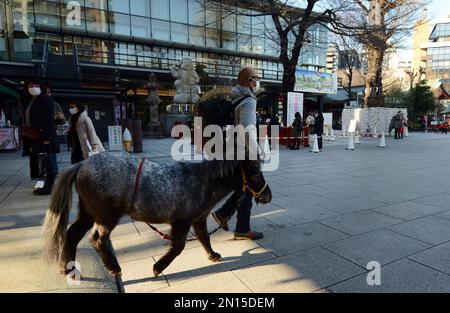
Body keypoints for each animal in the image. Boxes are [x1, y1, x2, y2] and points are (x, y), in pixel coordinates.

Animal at [42, 151, 272, 276]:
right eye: (255, 174)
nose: (267, 196)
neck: (203, 182)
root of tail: (81, 164)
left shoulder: (198, 218)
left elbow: (204, 238)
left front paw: (213, 255)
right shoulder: (182, 221)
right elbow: (178, 247)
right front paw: (158, 267)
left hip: (89, 212)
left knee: (72, 234)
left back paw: (68, 268)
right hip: (107, 216)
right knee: (97, 238)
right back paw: (113, 267)